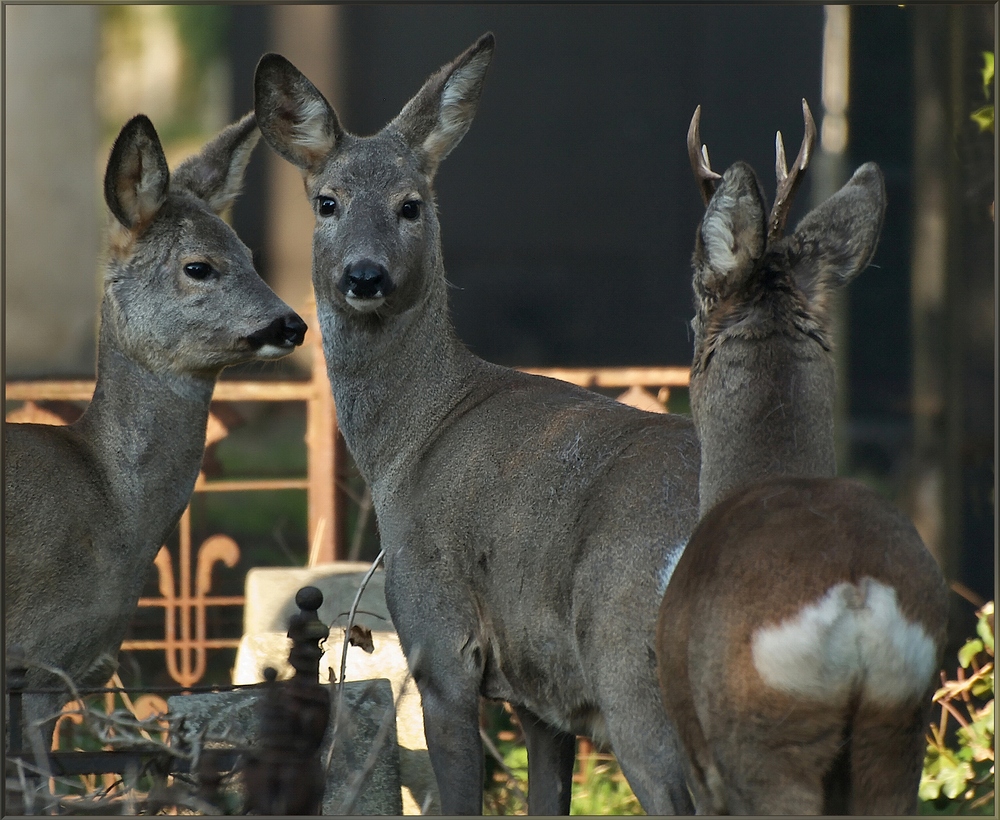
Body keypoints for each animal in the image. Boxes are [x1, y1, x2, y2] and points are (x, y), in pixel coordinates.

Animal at [254, 33, 700, 812]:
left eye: (411, 204)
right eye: (327, 201)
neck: (411, 441)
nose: (364, 276)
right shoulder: (541, 694)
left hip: (633, 679)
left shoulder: (440, 643)